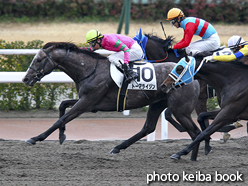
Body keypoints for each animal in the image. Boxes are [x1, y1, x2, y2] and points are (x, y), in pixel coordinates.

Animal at [22, 41, 203, 160]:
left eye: (38, 60)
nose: (25, 79)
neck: (89, 69)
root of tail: (193, 77)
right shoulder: (88, 101)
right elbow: (62, 105)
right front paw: (61, 136)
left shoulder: (87, 102)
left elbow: (61, 119)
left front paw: (35, 138)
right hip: (158, 104)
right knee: (149, 128)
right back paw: (117, 148)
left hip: (180, 110)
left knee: (196, 132)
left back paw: (185, 155)